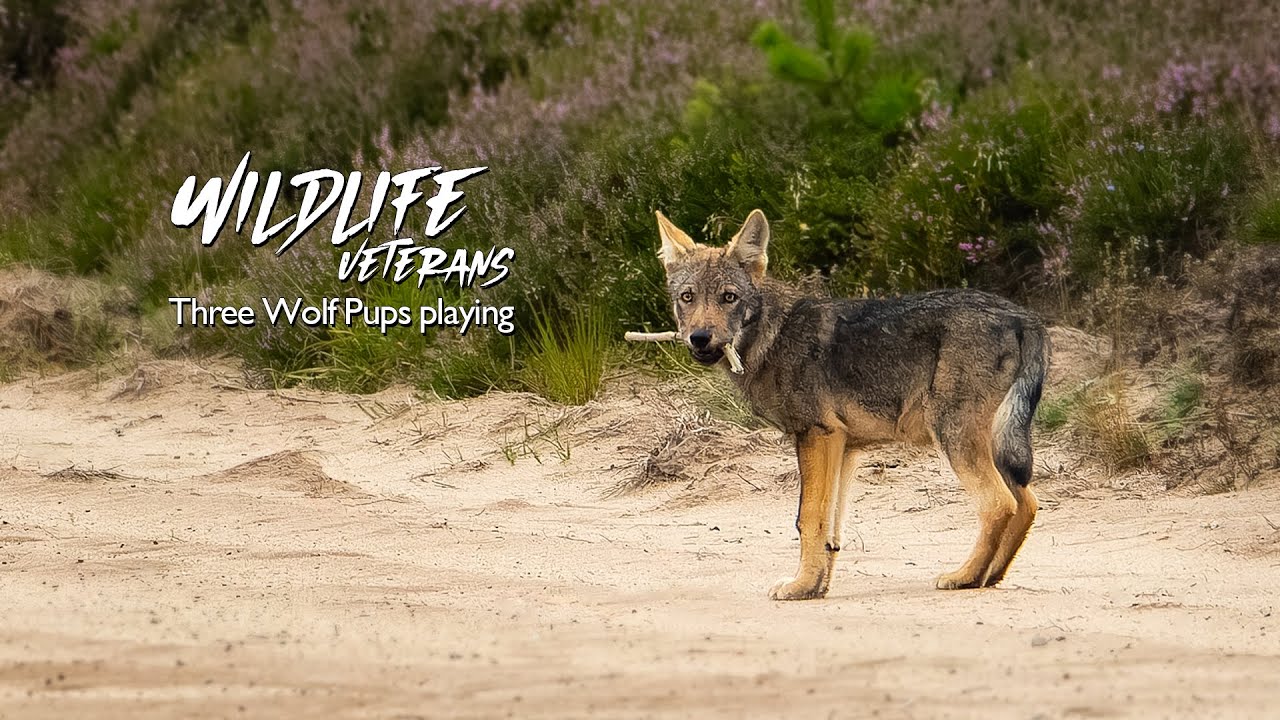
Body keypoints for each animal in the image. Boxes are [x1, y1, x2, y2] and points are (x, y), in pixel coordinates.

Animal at [655, 209, 1049, 600]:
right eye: (688, 297)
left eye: (728, 297)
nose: (700, 337)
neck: (772, 336)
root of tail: (1024, 317)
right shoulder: (843, 447)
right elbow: (830, 529)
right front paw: (816, 586)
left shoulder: (816, 435)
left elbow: (808, 517)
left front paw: (800, 586)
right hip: (994, 444)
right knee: (1027, 503)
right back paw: (991, 575)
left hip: (955, 439)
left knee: (1000, 504)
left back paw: (965, 576)